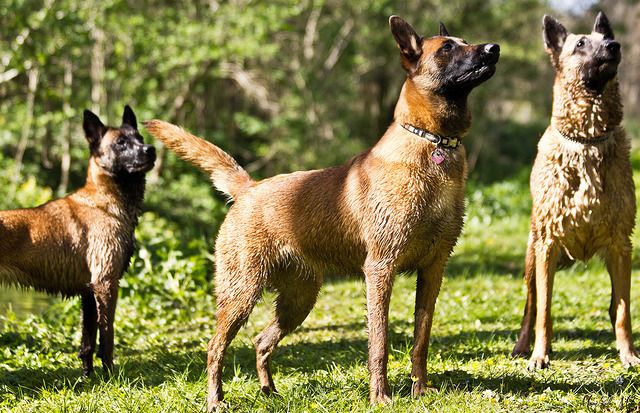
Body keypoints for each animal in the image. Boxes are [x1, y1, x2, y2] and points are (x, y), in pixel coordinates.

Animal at [0, 106, 156, 376]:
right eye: (121, 143)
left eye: (140, 138)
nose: (151, 149)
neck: (105, 202)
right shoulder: (106, 283)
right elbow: (107, 337)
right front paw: (110, 375)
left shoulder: (89, 291)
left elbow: (88, 342)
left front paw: (87, 376)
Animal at [144, 16, 499, 410]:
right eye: (447, 48)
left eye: (465, 41)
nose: (493, 48)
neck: (432, 143)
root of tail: (248, 188)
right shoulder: (380, 269)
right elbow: (380, 343)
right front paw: (380, 396)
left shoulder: (433, 269)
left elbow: (421, 339)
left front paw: (420, 389)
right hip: (242, 294)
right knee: (214, 347)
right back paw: (215, 400)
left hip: (298, 300)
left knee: (261, 341)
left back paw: (269, 391)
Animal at [512, 12, 639, 370]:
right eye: (580, 44)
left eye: (605, 38)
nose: (614, 45)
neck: (587, 141)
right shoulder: (547, 245)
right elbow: (543, 311)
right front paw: (540, 355)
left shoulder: (621, 245)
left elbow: (623, 311)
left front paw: (628, 354)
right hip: (532, 257)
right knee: (531, 307)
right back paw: (523, 347)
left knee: (615, 304)